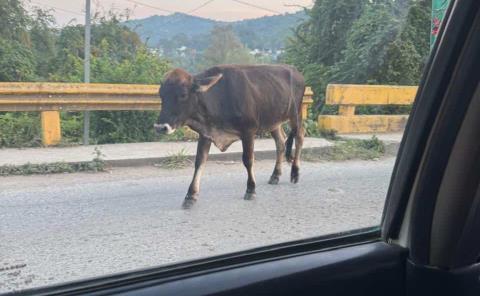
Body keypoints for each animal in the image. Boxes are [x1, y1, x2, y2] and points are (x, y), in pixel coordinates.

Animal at [155, 65, 304, 208]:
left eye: (183, 94)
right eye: (161, 95)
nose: (160, 127)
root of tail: (295, 71)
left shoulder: (248, 131)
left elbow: (248, 160)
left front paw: (251, 189)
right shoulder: (206, 133)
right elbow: (199, 162)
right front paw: (190, 195)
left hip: (296, 115)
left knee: (299, 138)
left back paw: (295, 173)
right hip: (274, 122)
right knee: (280, 143)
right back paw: (275, 175)